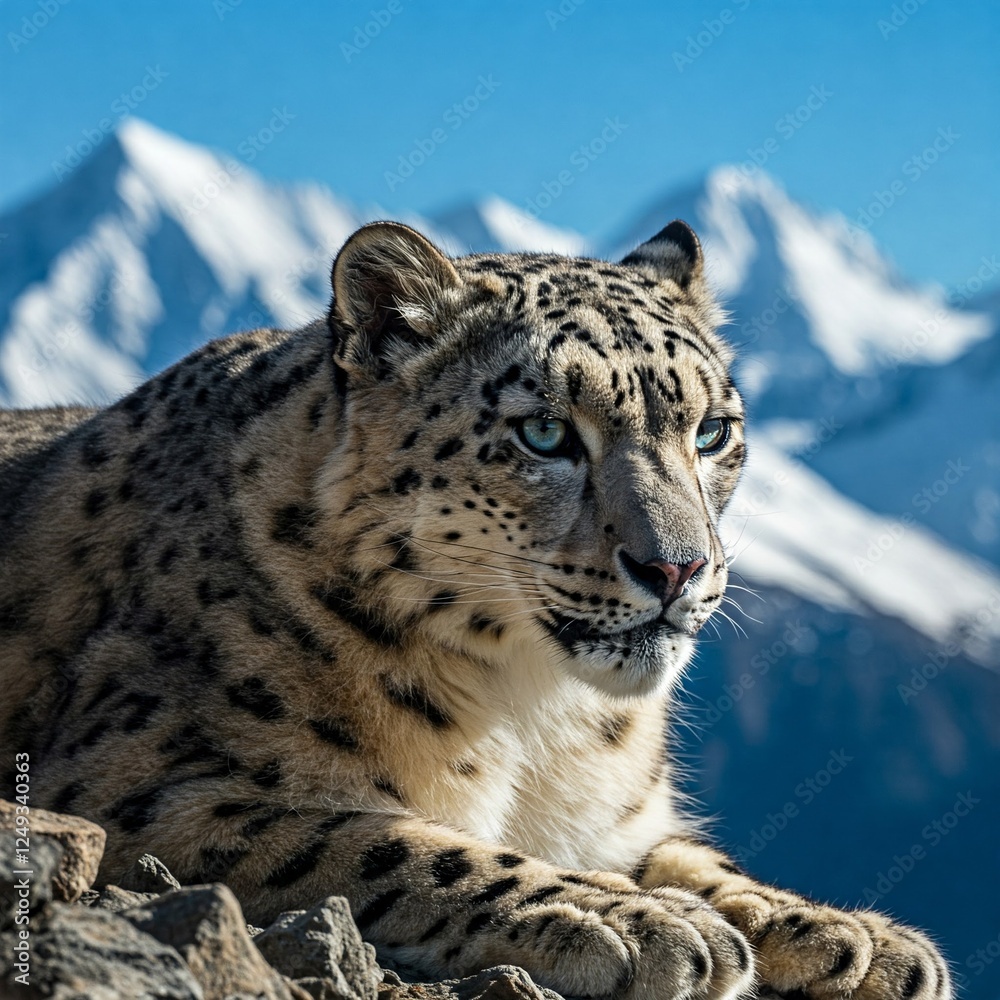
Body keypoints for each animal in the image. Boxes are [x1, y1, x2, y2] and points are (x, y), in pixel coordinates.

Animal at [0, 219, 951, 999]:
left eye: (712, 431)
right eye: (545, 432)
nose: (678, 568)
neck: (533, 716)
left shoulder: (621, 815)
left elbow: (688, 854)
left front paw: (850, 937)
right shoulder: (135, 791)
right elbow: (383, 840)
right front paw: (632, 919)